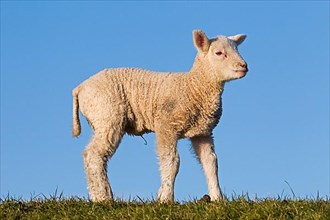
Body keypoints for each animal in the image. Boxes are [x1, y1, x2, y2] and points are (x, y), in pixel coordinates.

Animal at [72, 29, 248, 203]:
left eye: (237, 49)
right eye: (219, 53)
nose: (244, 66)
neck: (193, 86)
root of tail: (79, 88)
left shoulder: (202, 132)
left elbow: (211, 162)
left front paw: (217, 198)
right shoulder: (166, 126)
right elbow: (172, 162)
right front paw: (166, 198)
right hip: (108, 116)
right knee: (93, 155)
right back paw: (103, 198)